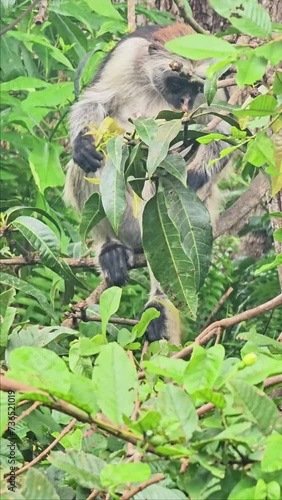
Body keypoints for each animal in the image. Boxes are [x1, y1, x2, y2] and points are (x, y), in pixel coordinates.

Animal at [65, 22, 232, 344]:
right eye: (178, 84)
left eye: (196, 88)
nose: (185, 104)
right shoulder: (126, 55)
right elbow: (94, 101)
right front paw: (82, 142)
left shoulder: (217, 80)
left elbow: (228, 126)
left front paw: (195, 174)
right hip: (128, 222)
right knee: (97, 160)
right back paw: (111, 248)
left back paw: (160, 304)